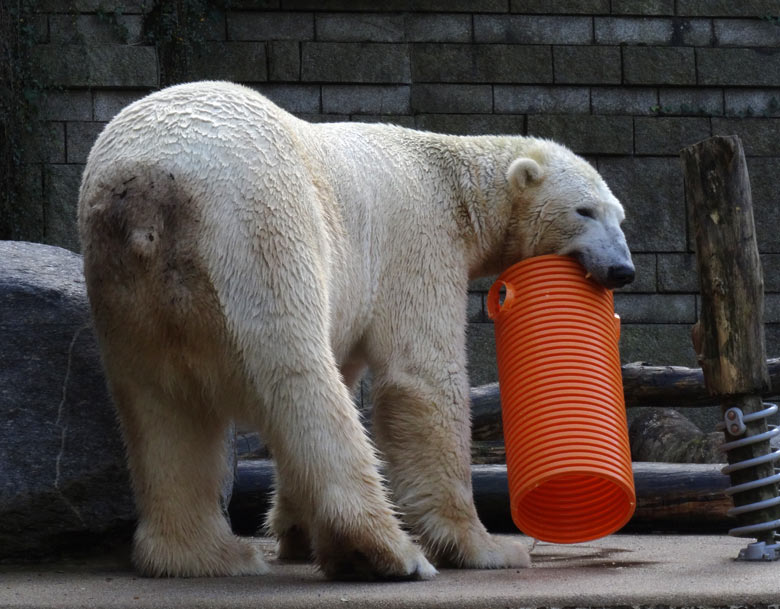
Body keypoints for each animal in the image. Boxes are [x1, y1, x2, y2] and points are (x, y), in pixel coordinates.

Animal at [77, 81, 632, 580]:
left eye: (620, 217)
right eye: (586, 210)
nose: (622, 270)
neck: (452, 180)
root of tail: (148, 187)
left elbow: (349, 364)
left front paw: (296, 532)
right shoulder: (417, 239)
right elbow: (421, 377)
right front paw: (488, 548)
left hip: (128, 292)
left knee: (162, 407)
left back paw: (207, 555)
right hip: (259, 228)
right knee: (301, 380)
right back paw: (385, 552)